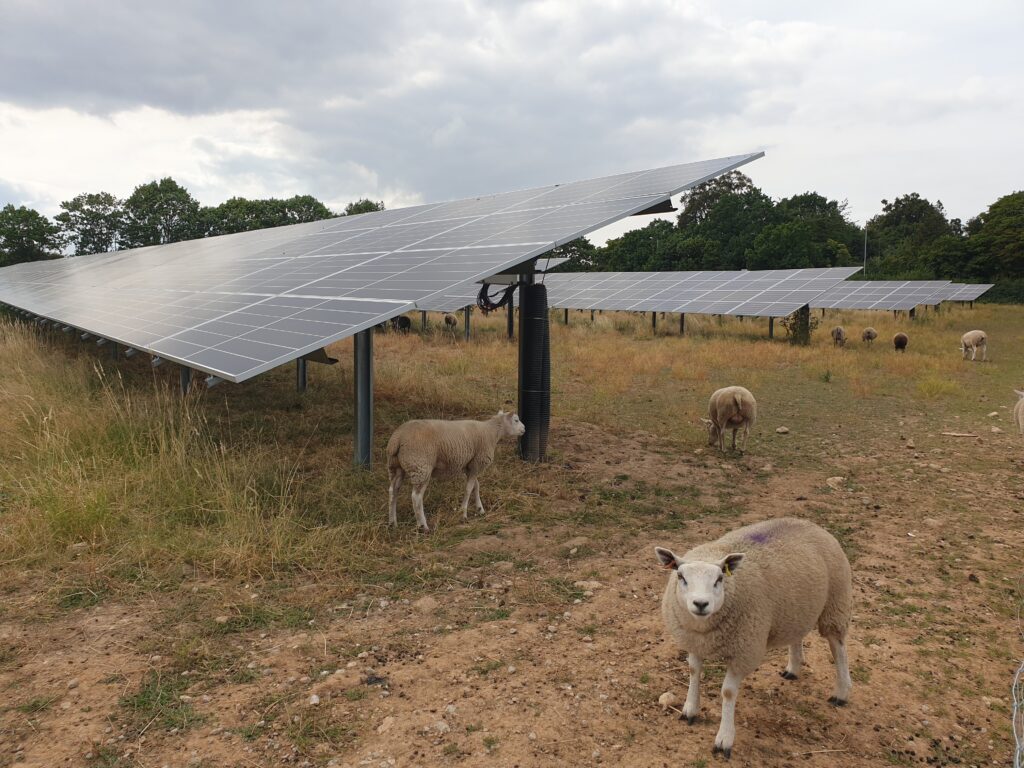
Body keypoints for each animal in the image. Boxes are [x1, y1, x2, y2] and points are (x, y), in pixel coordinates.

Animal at [385, 411, 524, 532]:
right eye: (516, 420)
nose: (524, 429)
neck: (491, 431)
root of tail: (397, 439)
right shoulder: (477, 463)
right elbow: (469, 489)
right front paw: (463, 514)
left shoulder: (470, 466)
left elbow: (476, 486)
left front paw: (480, 509)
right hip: (421, 466)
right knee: (416, 497)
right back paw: (423, 526)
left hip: (397, 467)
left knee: (393, 491)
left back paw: (393, 523)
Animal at [655, 520, 856, 761]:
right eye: (681, 577)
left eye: (720, 578)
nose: (701, 604)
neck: (704, 630)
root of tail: (810, 523)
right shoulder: (694, 641)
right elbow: (694, 672)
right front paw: (690, 710)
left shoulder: (744, 651)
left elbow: (728, 692)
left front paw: (724, 739)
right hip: (796, 610)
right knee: (797, 635)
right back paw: (793, 668)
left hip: (835, 602)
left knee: (838, 646)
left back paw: (841, 692)